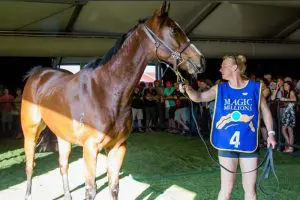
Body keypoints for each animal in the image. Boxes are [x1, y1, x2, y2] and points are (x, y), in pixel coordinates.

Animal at [20, 0, 204, 199]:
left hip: (63, 135)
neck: (105, 92)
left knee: (63, 166)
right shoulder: (90, 149)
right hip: (31, 132)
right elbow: (91, 190)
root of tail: (37, 74)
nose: (201, 61)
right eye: (173, 30)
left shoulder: (118, 147)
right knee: (30, 166)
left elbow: (114, 186)